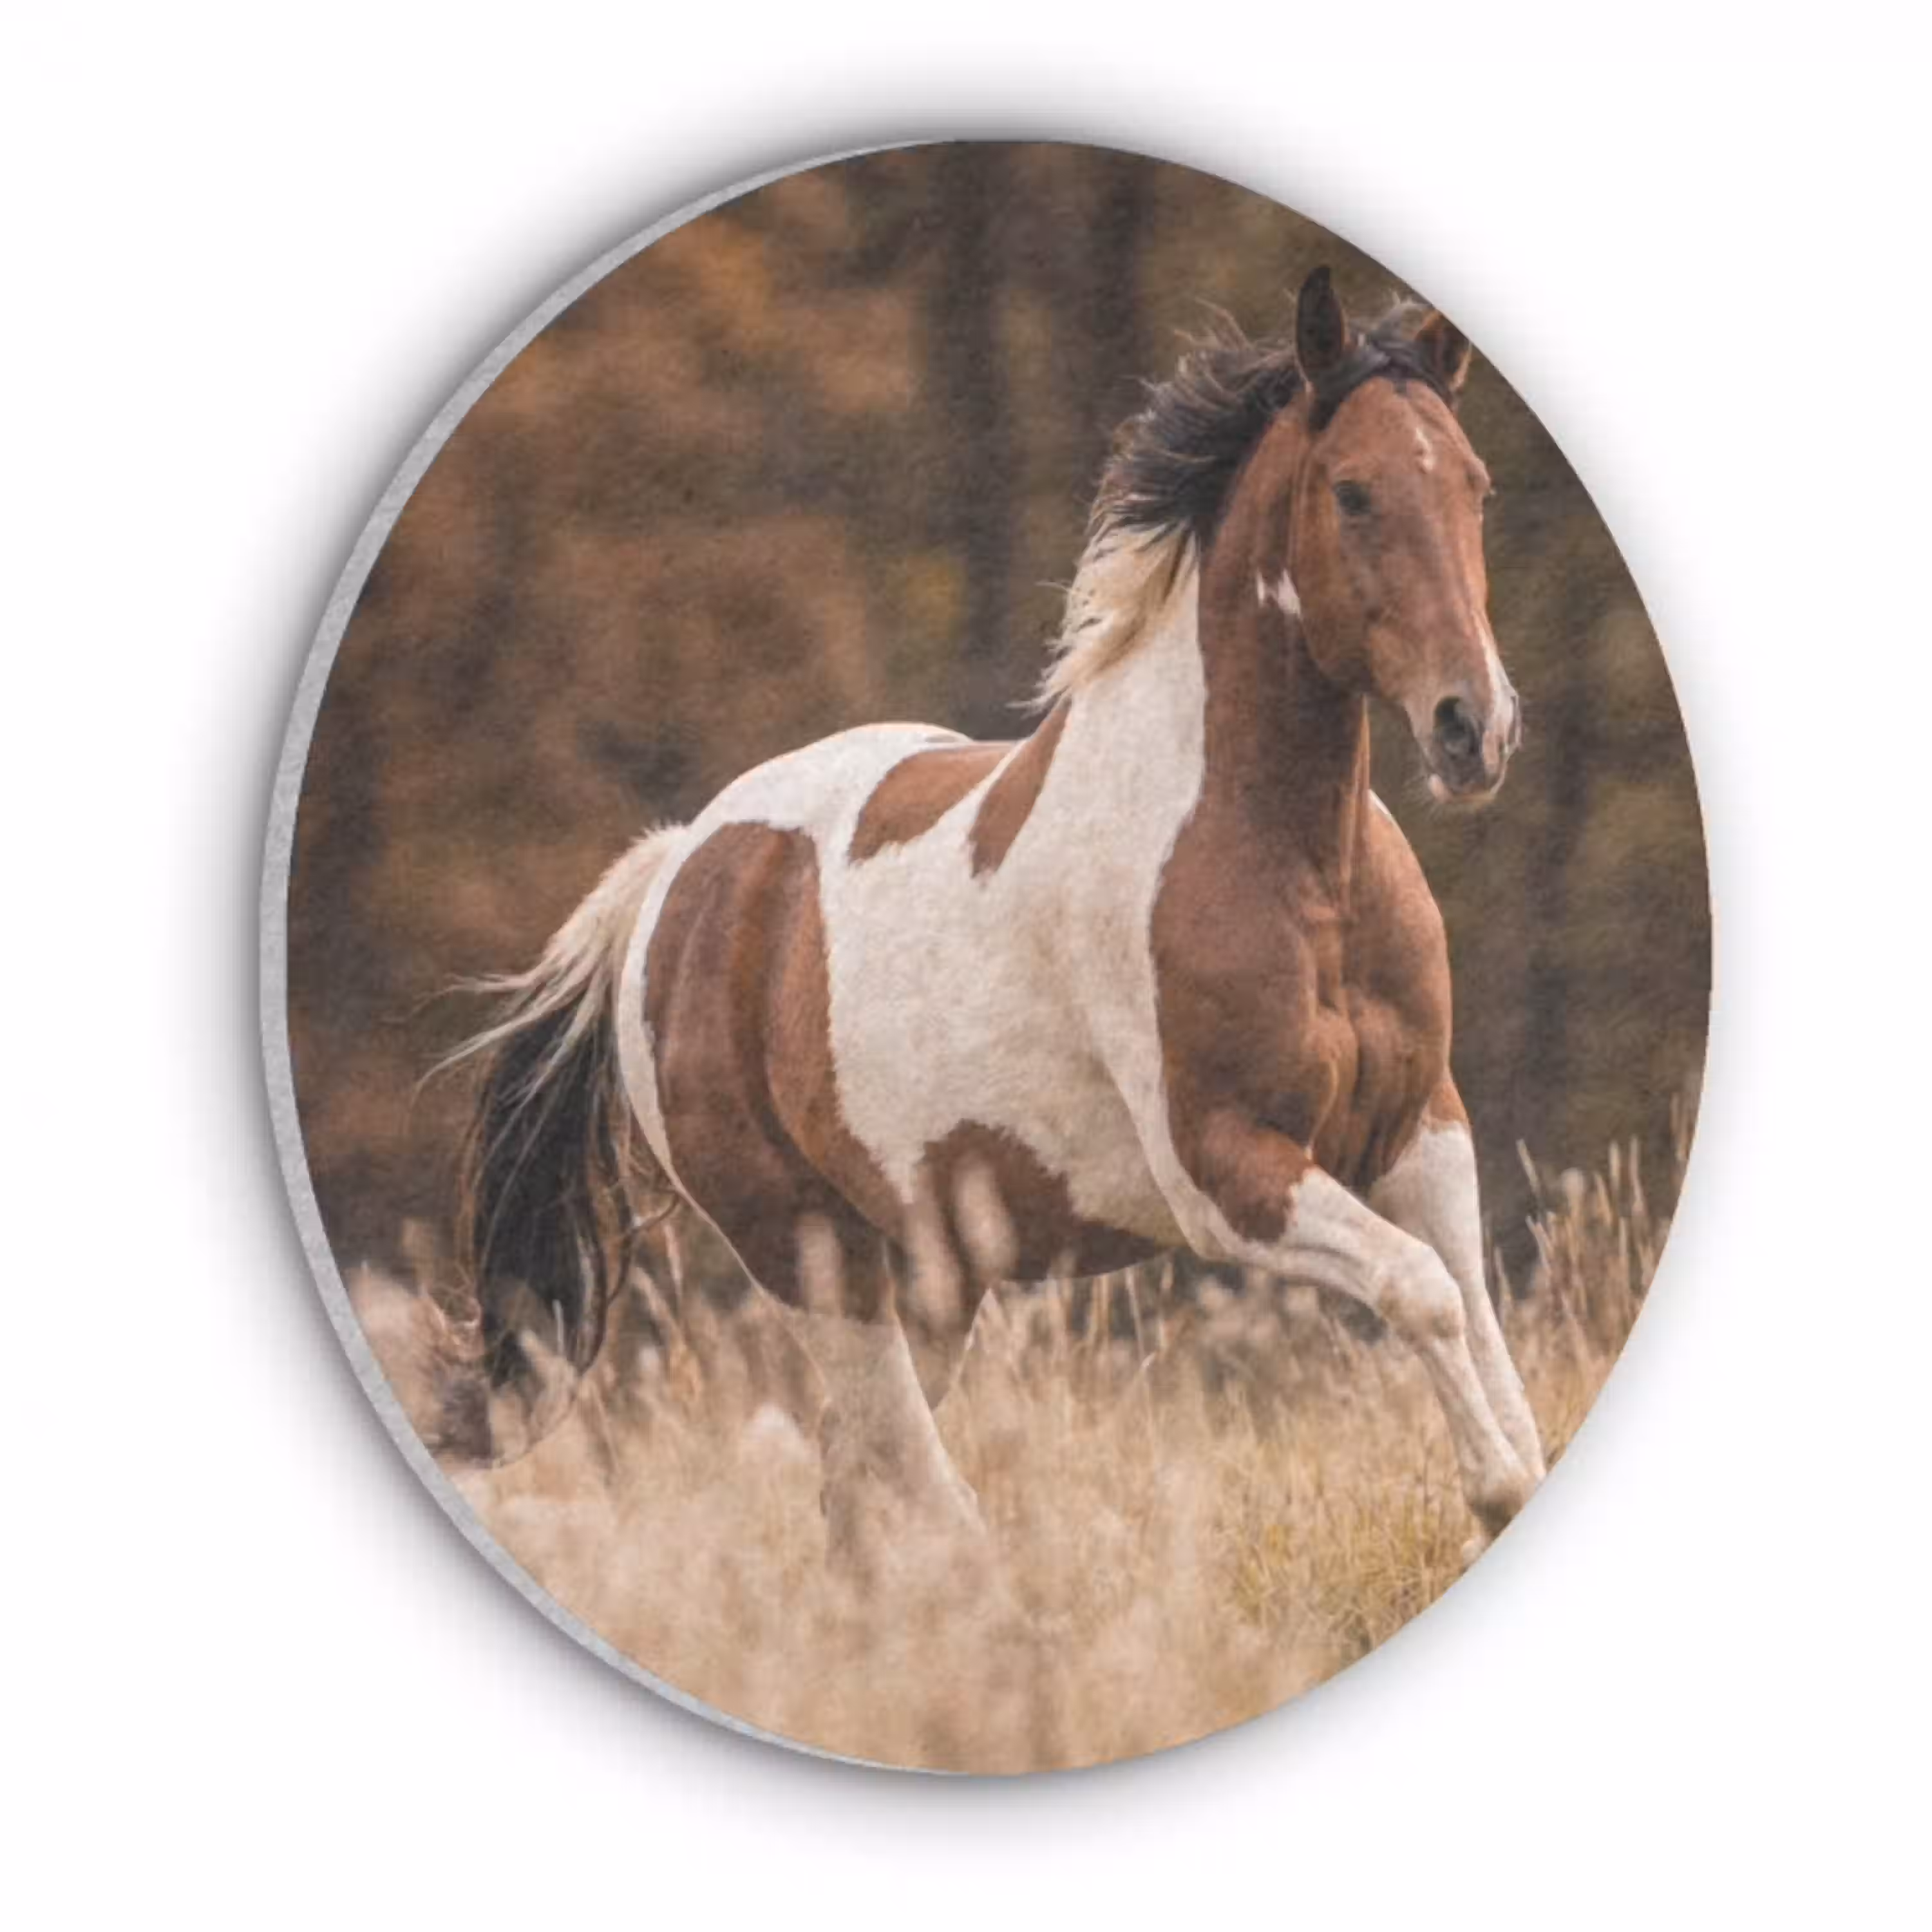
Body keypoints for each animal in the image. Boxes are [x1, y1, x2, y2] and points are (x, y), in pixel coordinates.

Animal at [451, 265, 1546, 1570]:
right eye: (1355, 492)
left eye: (1476, 486)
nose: (1474, 729)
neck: (1296, 871)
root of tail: (677, 872)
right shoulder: (1226, 1173)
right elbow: (1423, 1292)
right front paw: (1493, 1496)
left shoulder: (1422, 1129)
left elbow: (1472, 1309)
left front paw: (1516, 1480)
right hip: (811, 1255)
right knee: (911, 1490)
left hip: (934, 1271)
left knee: (859, 1497)